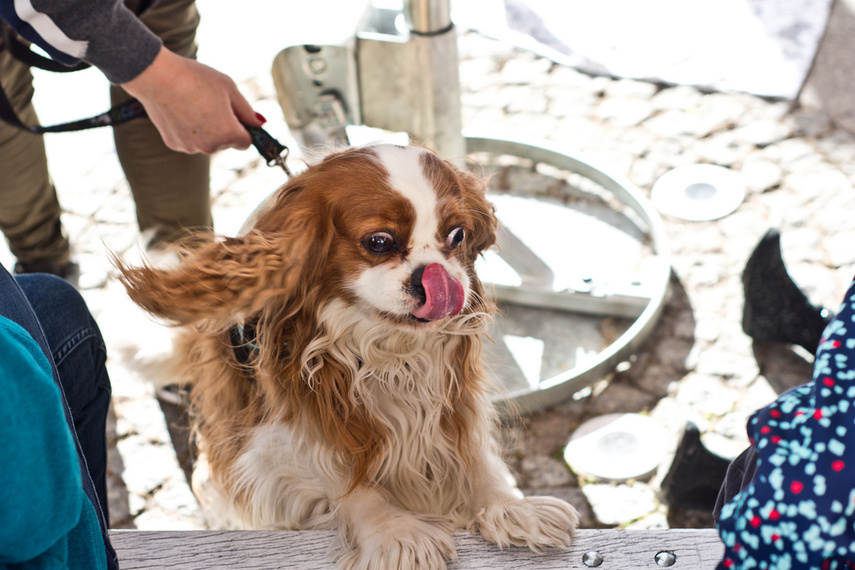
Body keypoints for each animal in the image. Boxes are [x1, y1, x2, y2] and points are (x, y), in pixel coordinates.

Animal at [117, 144, 580, 564]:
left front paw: (511, 509)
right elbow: (342, 478)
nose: (438, 279)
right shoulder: (287, 432)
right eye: (379, 242)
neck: (386, 349)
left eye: (458, 235)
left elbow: (473, 457)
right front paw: (396, 533)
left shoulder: (451, 398)